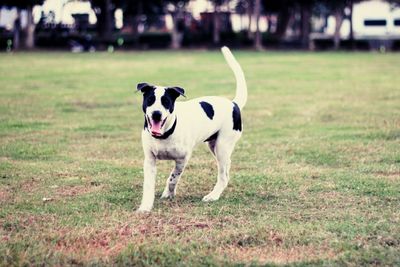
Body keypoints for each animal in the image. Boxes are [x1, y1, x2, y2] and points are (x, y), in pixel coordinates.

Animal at [136, 46, 245, 214]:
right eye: (150, 100)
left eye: (166, 102)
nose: (156, 114)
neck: (165, 134)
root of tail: (234, 104)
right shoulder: (150, 160)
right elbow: (148, 185)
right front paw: (145, 206)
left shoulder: (182, 159)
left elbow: (173, 177)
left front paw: (169, 193)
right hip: (215, 146)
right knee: (227, 168)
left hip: (222, 146)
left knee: (222, 175)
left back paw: (213, 196)